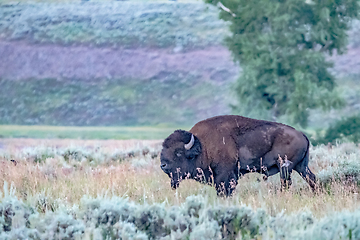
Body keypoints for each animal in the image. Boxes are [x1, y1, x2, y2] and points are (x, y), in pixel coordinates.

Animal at [160, 115, 316, 197]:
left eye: (178, 152)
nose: (163, 165)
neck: (202, 146)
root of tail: (302, 135)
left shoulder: (224, 175)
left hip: (285, 167)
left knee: (286, 183)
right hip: (301, 167)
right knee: (312, 179)